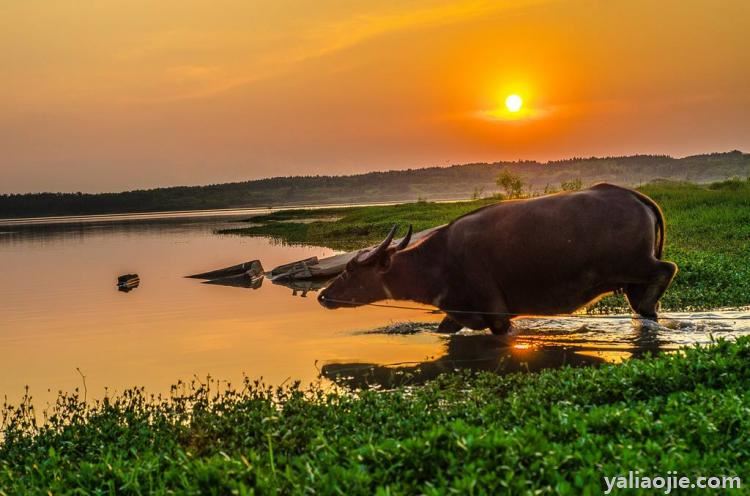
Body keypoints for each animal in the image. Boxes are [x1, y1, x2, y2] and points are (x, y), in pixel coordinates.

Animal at [314, 185, 680, 338]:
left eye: (349, 271)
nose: (323, 295)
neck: (438, 262)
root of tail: (636, 197)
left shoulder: (497, 316)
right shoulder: (458, 313)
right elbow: (444, 330)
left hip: (634, 264)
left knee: (666, 270)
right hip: (630, 278)